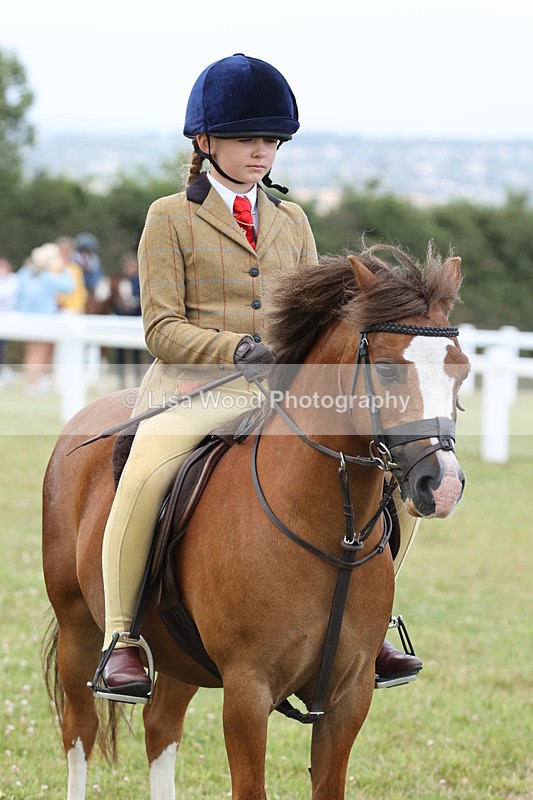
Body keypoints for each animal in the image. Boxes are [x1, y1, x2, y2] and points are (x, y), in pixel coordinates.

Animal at [41, 244, 470, 800]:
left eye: (461, 372)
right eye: (391, 371)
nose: (443, 485)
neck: (325, 529)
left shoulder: (349, 697)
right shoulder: (247, 692)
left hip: (177, 655)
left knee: (162, 730)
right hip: (77, 629)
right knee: (81, 732)